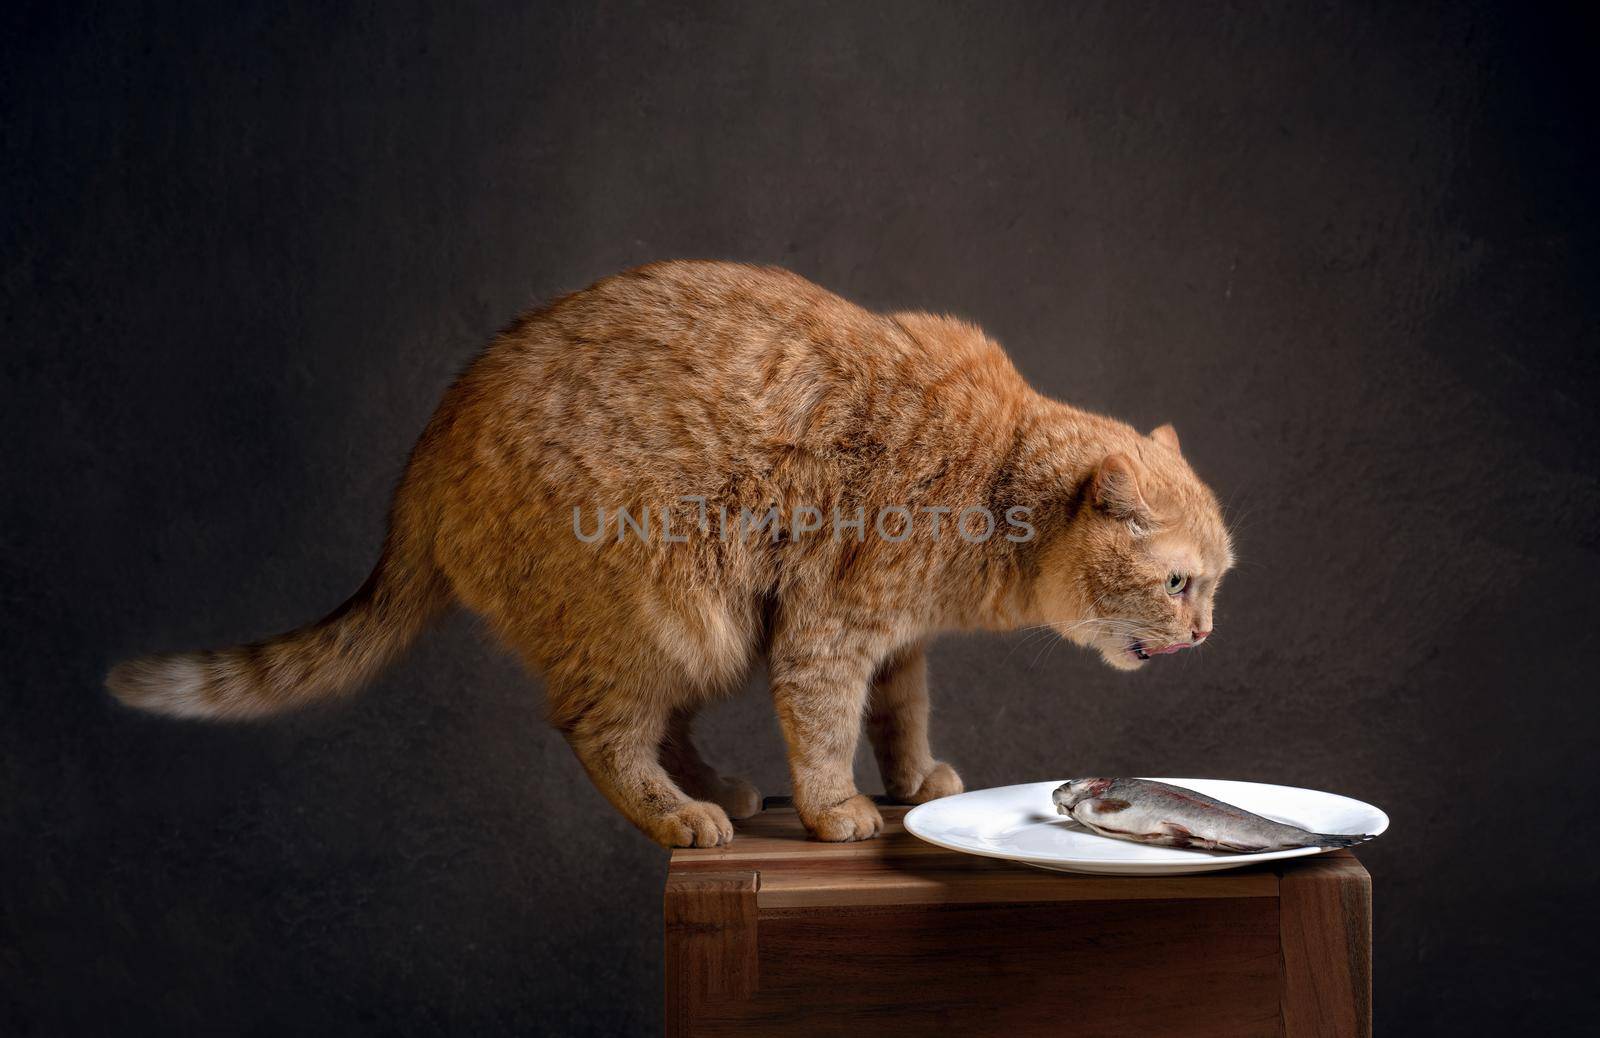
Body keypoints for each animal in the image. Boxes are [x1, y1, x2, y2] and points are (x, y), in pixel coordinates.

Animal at [109, 259, 1235, 844]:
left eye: (1219, 585)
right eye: (1178, 582)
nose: (1205, 634)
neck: (993, 476)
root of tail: (428, 446)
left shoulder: (896, 644)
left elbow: (899, 716)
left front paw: (913, 779)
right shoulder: (828, 634)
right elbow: (825, 733)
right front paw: (838, 812)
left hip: (706, 628)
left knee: (656, 728)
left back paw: (713, 791)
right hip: (667, 613)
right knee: (600, 733)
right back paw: (680, 815)